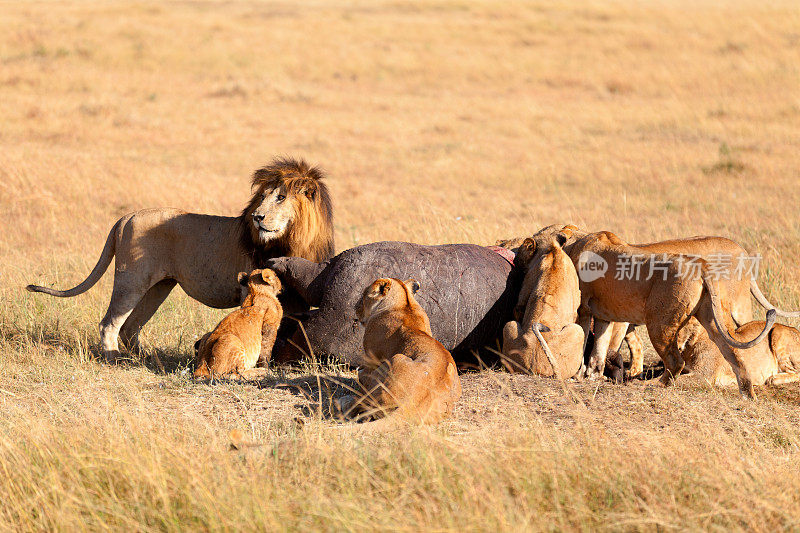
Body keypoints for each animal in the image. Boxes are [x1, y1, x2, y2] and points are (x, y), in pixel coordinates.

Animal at [27, 156, 334, 360]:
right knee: (110, 323)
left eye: (280, 198)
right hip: (131, 280)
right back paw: (114, 360)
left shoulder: (296, 299)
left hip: (159, 286)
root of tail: (126, 217)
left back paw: (145, 358)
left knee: (130, 326)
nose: (258, 217)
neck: (297, 237)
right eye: (261, 198)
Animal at [338, 276, 462, 426]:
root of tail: (412, 403)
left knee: (364, 405)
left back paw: (344, 402)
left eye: (363, 296)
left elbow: (365, 377)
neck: (404, 303)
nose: (355, 308)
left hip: (397, 359)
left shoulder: (371, 358)